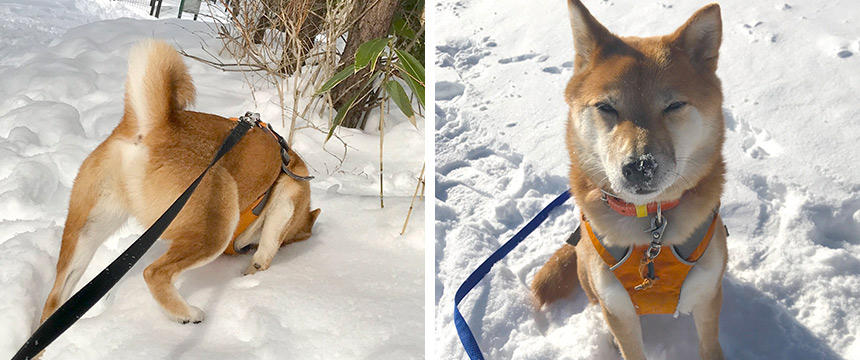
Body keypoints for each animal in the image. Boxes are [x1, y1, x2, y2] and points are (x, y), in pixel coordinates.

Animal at [39, 39, 320, 324]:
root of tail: (157, 127)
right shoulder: (287, 200)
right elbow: (265, 253)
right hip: (216, 224)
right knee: (154, 272)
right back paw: (187, 314)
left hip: (87, 229)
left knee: (54, 300)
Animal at [536, 1, 728, 358]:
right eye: (606, 107)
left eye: (674, 105)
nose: (640, 167)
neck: (651, 223)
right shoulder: (619, 309)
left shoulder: (708, 297)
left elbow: (709, 344)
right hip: (589, 273)